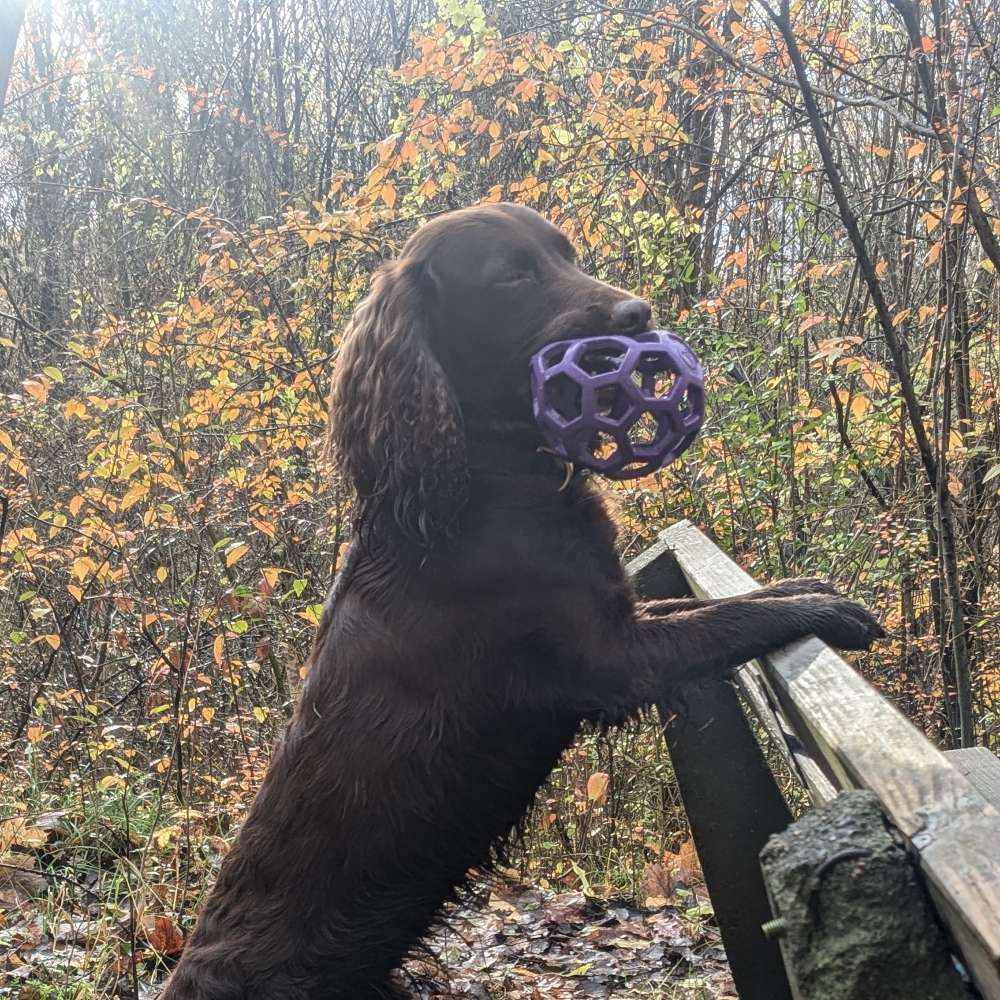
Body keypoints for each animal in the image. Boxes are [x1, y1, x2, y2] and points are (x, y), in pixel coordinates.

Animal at [162, 203, 884, 1000]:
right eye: (512, 276)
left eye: (566, 254)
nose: (639, 313)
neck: (491, 477)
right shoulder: (611, 659)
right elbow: (728, 620)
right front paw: (826, 613)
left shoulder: (619, 615)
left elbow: (714, 607)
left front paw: (803, 587)